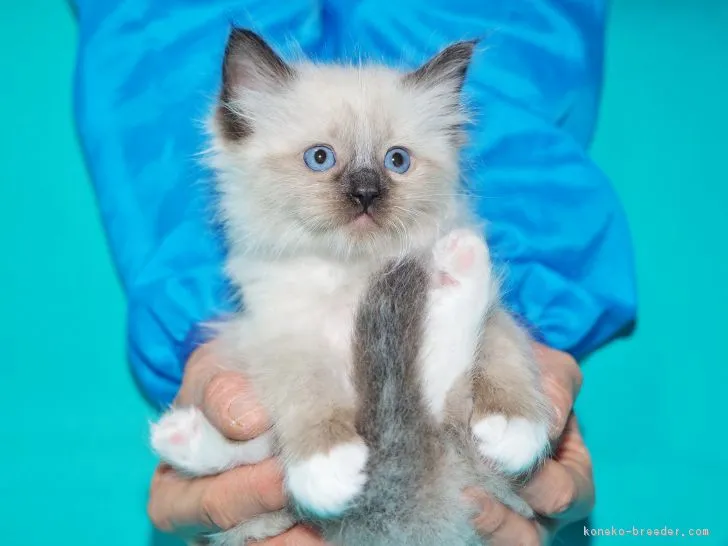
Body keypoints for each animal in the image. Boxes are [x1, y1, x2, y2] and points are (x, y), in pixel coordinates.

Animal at [151, 28, 548, 544]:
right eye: (320, 158)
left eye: (396, 161)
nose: (365, 194)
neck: (357, 276)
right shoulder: (282, 333)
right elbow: (308, 390)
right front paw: (327, 465)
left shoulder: (498, 325)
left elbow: (503, 348)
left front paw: (514, 427)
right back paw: (183, 439)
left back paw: (462, 264)